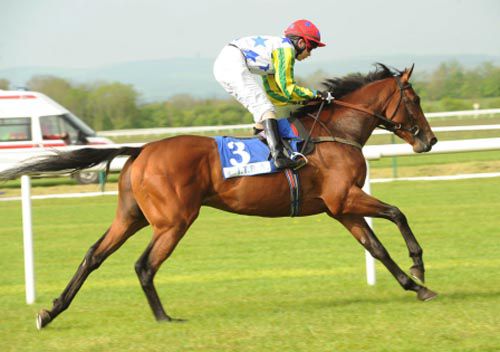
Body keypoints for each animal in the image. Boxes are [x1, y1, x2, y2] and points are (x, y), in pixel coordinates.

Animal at [0, 62, 438, 328]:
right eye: (414, 100)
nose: (430, 140)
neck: (335, 132)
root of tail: (141, 150)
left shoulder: (340, 207)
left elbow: (376, 248)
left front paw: (417, 286)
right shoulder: (345, 198)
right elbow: (397, 213)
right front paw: (418, 267)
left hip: (131, 216)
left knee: (94, 255)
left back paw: (51, 311)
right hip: (173, 221)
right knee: (144, 265)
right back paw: (164, 318)